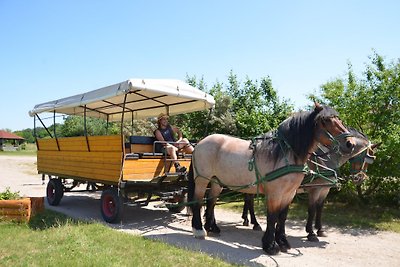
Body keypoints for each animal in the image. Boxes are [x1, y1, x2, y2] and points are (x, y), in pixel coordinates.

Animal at [188, 102, 356, 255]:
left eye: (339, 119)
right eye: (325, 121)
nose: (350, 143)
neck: (285, 153)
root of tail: (200, 143)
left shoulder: (290, 193)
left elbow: (282, 216)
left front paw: (283, 242)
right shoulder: (275, 192)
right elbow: (272, 217)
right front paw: (270, 245)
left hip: (216, 181)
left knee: (211, 202)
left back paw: (212, 228)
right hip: (202, 179)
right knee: (198, 201)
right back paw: (199, 230)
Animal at [239, 129, 380, 242]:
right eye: (367, 158)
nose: (359, 179)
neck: (326, 160)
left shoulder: (324, 190)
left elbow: (320, 208)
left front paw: (320, 229)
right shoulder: (314, 190)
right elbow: (312, 209)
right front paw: (311, 233)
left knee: (248, 199)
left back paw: (248, 220)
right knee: (249, 201)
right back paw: (254, 222)